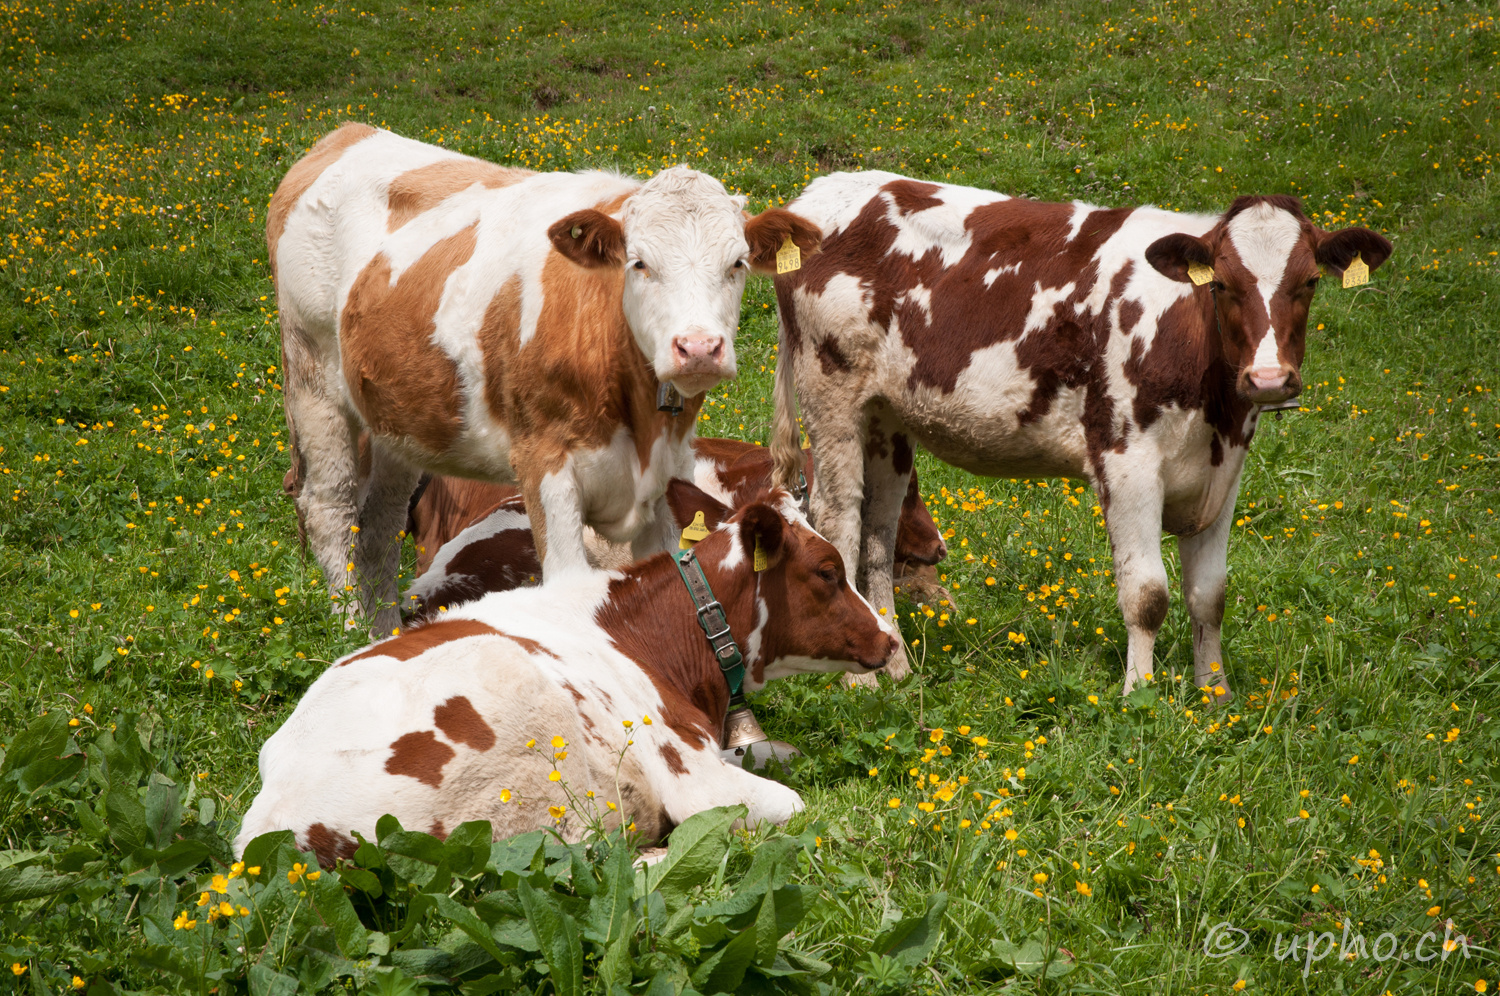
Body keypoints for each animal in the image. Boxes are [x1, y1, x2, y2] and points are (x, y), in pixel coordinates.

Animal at [228, 480, 894, 864]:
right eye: (829, 571)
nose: (889, 639)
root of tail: (273, 816)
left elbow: (775, 751)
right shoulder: (696, 781)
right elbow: (790, 803)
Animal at [264, 124, 816, 633]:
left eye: (737, 263)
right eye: (639, 263)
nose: (699, 348)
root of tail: (347, 134)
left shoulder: (664, 478)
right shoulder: (545, 466)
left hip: (396, 420)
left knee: (379, 528)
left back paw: (384, 634)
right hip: (312, 376)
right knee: (331, 510)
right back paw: (351, 632)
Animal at [774, 173, 1392, 699]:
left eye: (1309, 282)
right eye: (1221, 283)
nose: (1267, 379)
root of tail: (819, 192)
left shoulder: (1224, 475)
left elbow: (1209, 597)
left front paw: (1215, 697)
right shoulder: (1127, 460)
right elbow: (1147, 595)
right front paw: (1140, 697)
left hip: (888, 418)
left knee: (879, 533)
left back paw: (897, 665)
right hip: (831, 401)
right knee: (841, 522)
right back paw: (859, 681)